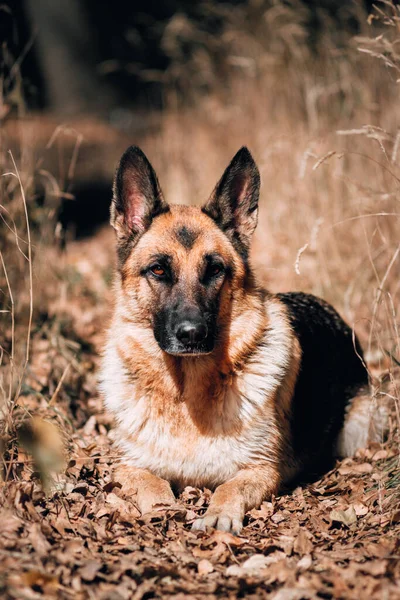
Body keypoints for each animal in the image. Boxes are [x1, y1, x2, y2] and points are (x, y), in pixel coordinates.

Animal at [101, 145, 382, 536]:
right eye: (158, 269)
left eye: (215, 270)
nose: (192, 334)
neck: (187, 394)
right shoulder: (128, 466)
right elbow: (152, 484)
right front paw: (162, 506)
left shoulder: (261, 470)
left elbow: (229, 487)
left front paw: (219, 514)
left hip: (358, 429)